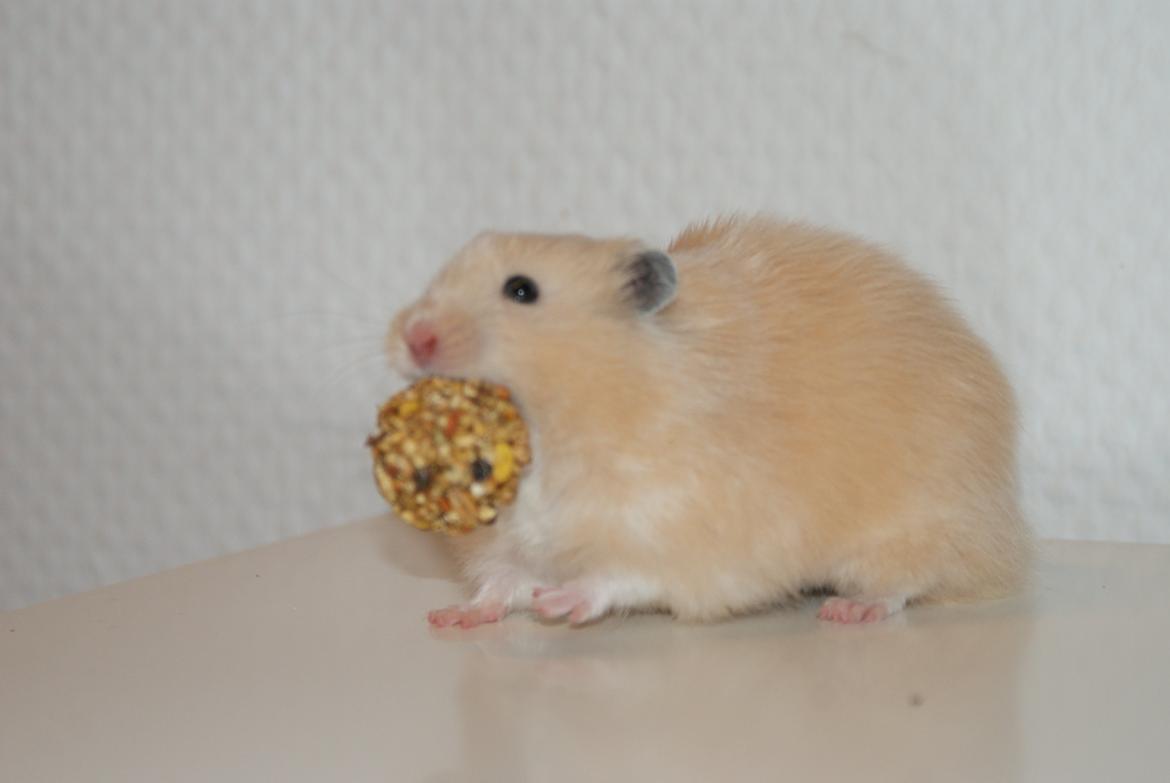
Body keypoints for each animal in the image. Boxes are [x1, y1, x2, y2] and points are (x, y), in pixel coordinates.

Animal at [386, 216, 1031, 627]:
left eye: (522, 290)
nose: (413, 337)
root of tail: (1006, 527)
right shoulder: (507, 543)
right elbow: (499, 584)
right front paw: (451, 616)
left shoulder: (679, 525)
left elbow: (618, 574)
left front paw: (558, 603)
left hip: (912, 525)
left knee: (909, 582)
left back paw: (849, 609)